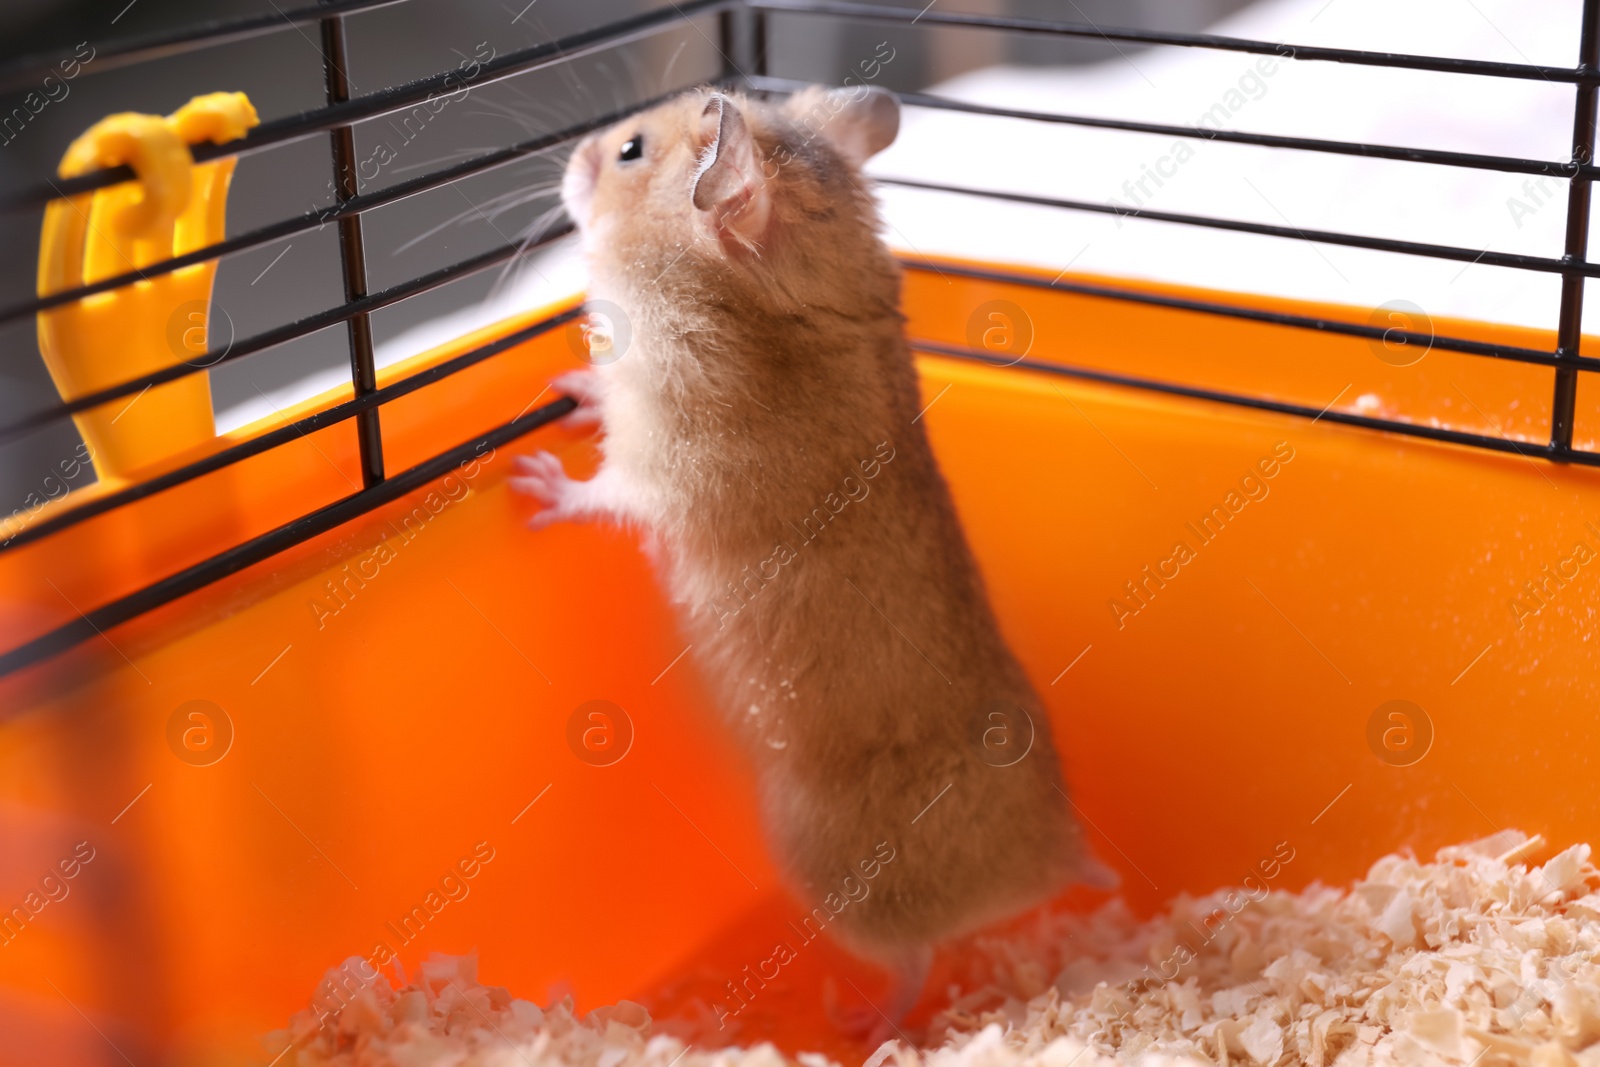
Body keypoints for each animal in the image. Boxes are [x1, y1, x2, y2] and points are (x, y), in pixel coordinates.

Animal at [512, 87, 1113, 1023]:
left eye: (630, 152)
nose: (571, 157)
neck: (786, 285)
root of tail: (1053, 863)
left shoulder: (664, 461)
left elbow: (605, 491)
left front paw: (534, 484)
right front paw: (565, 393)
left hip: (827, 867)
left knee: (914, 958)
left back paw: (864, 1019)